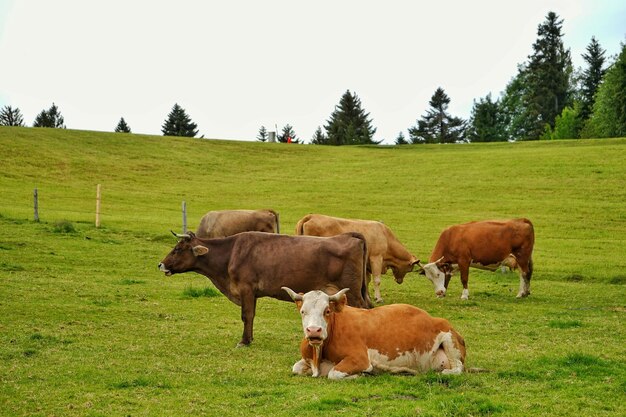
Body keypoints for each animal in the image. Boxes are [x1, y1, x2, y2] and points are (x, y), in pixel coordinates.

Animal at [157, 231, 370, 344]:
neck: (230, 253)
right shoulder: (252, 293)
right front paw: (249, 339)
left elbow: (246, 315)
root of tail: (350, 235)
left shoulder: (246, 288)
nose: (160, 264)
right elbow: (250, 315)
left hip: (352, 292)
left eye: (177, 249)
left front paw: (244, 341)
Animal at [282, 288, 464, 378]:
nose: (314, 330)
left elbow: (333, 373)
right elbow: (296, 368)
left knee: (457, 367)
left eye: (327, 311)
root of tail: (435, 319)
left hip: (449, 340)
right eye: (303, 311)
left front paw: (359, 375)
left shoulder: (360, 359)